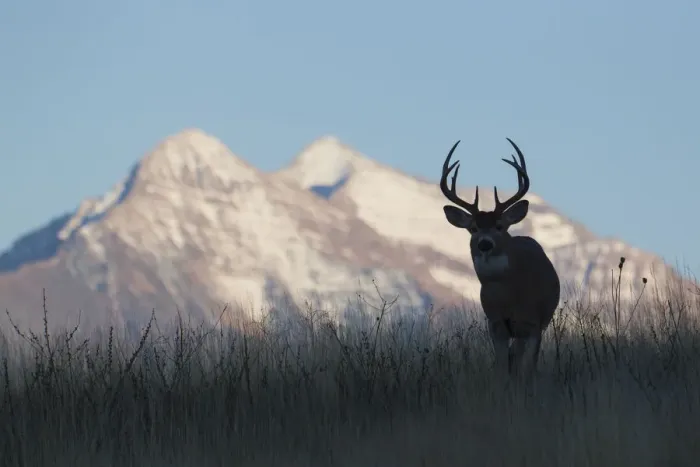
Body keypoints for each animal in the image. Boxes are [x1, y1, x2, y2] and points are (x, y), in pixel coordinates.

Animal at [439, 138, 560, 380]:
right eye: (473, 228)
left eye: (499, 226)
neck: (509, 296)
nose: (485, 244)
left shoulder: (533, 322)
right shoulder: (495, 324)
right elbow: (502, 365)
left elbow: (528, 366)